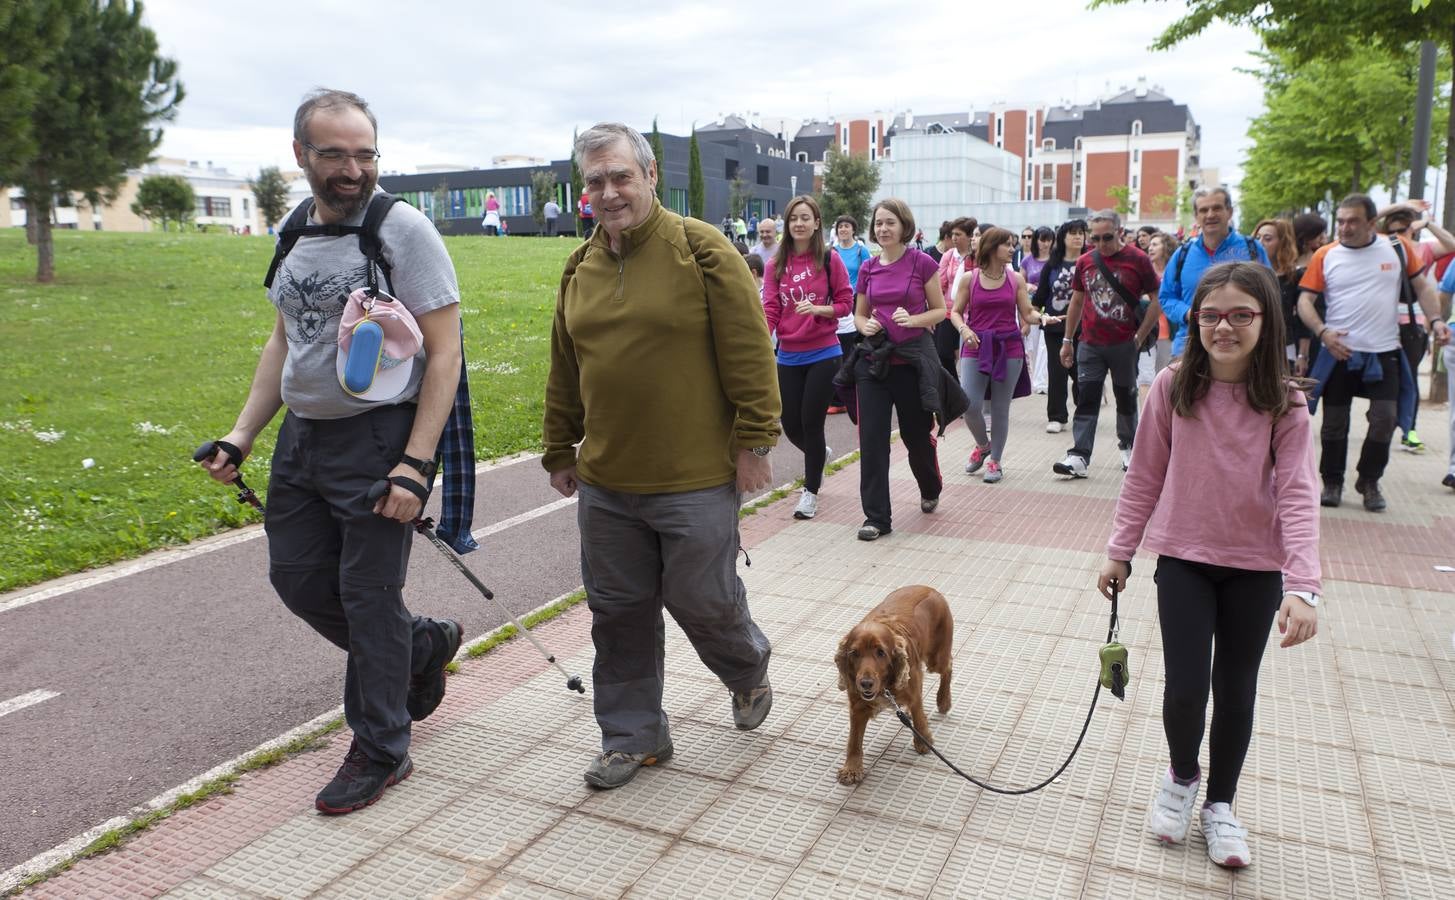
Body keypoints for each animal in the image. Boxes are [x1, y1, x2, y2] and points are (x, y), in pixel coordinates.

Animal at [832, 584, 954, 779]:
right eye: (854, 653)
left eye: (881, 652)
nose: (865, 683)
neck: (884, 686)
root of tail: (929, 588)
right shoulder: (857, 705)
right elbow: (854, 740)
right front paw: (852, 768)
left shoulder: (912, 694)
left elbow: (919, 717)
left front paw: (923, 741)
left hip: (937, 658)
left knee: (948, 667)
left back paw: (943, 701)